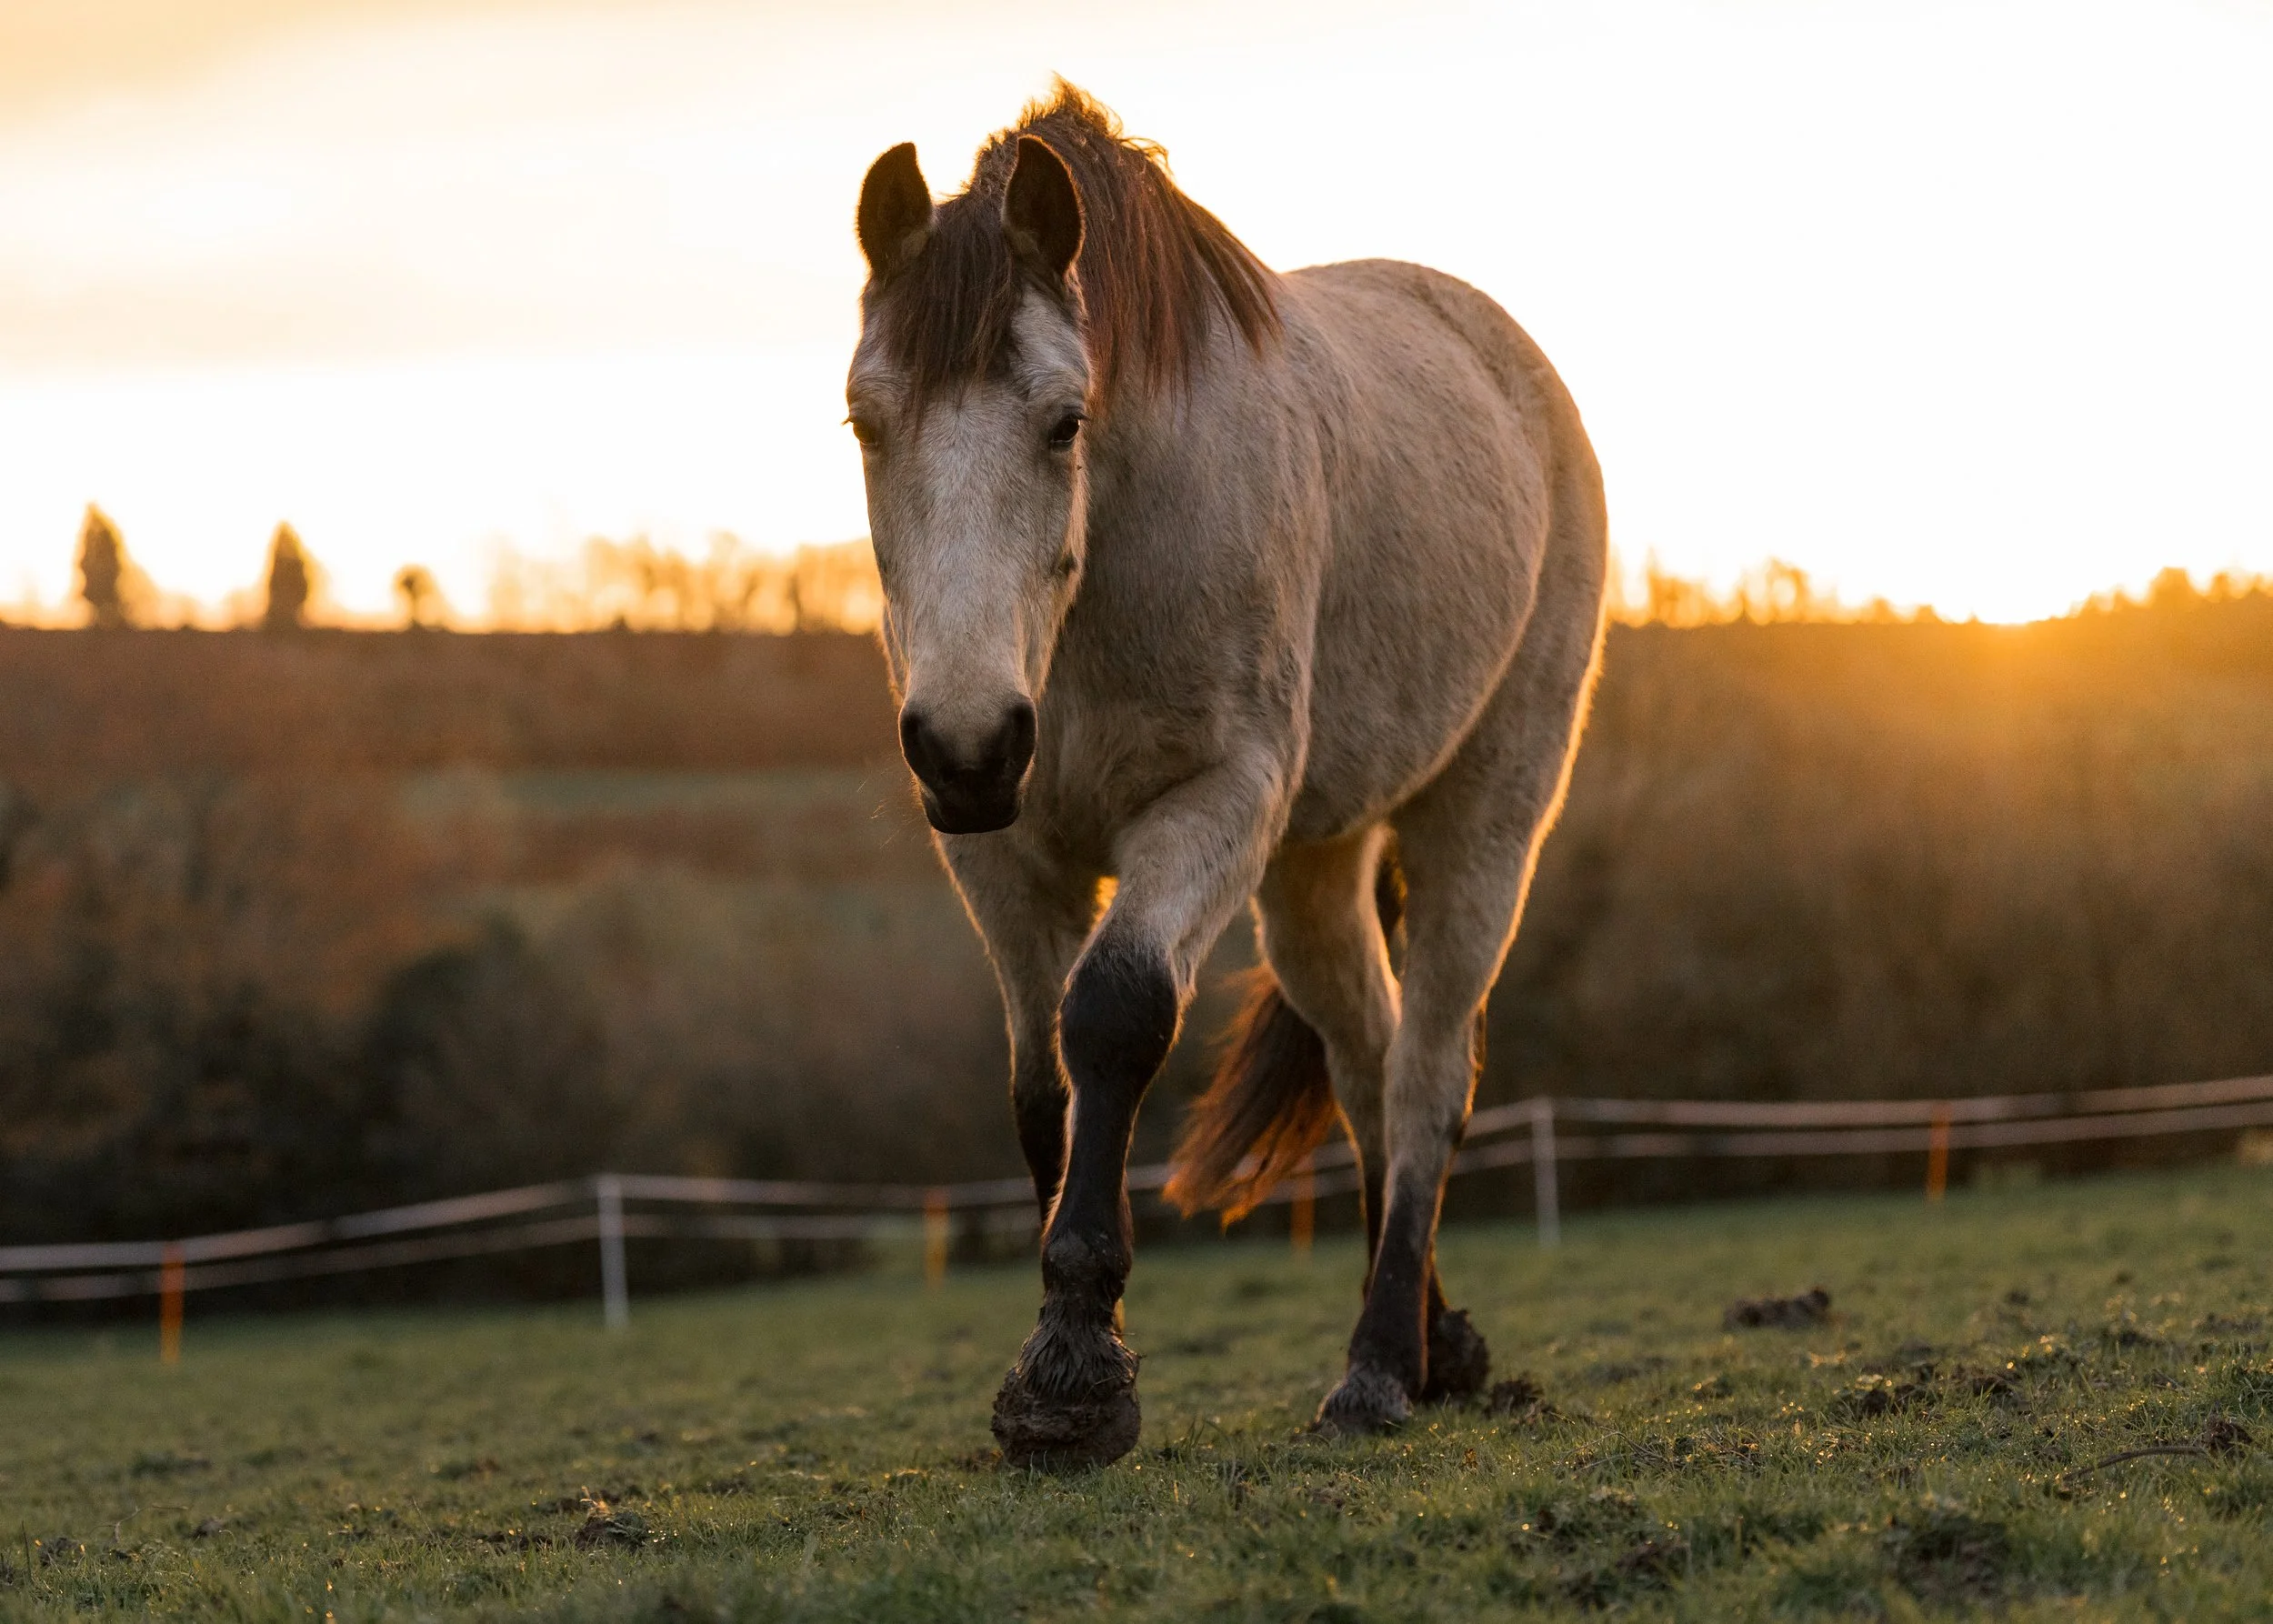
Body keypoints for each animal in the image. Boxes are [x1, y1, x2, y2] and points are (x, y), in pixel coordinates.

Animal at [846, 83, 1606, 1467]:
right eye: (867, 422)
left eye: (1065, 420)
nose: (970, 741)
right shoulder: (1000, 851)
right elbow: (1039, 1086)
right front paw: (1056, 1347)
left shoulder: (1212, 804)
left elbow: (1116, 1015)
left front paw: (1074, 1374)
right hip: (1310, 867)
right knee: (1365, 1063)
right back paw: (1433, 1343)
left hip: (1484, 820)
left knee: (1426, 1074)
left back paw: (1377, 1368)